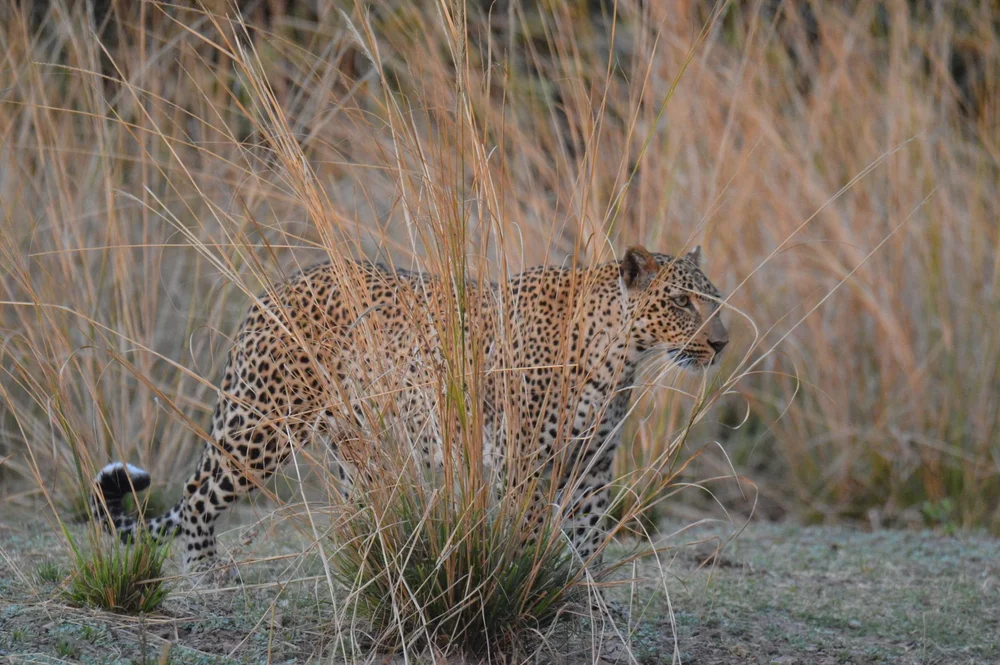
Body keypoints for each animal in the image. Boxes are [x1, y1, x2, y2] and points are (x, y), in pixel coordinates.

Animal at [90, 245, 728, 577]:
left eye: (715, 300)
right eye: (681, 302)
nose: (721, 344)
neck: (618, 357)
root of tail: (273, 288)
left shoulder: (592, 468)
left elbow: (590, 540)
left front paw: (585, 604)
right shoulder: (522, 465)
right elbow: (526, 538)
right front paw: (527, 588)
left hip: (353, 444)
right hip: (259, 425)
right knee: (198, 494)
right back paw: (207, 575)